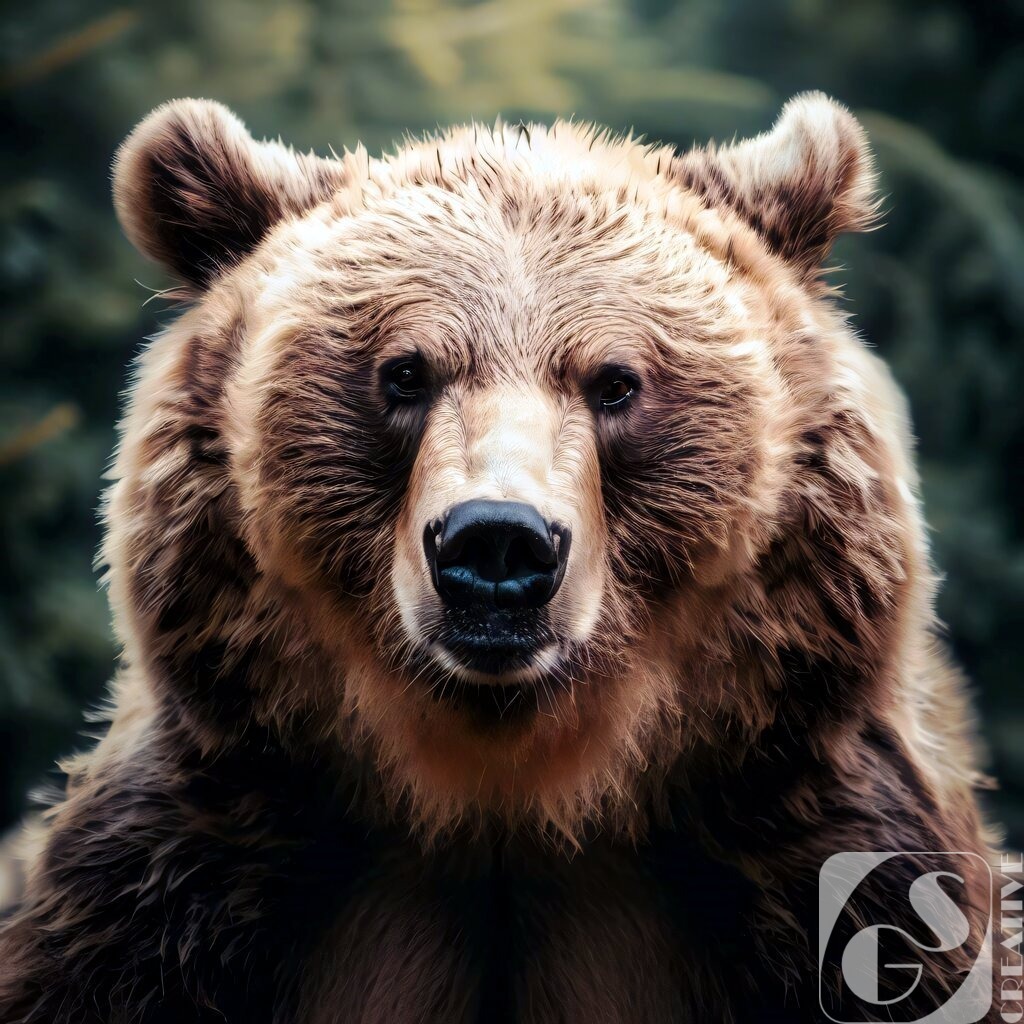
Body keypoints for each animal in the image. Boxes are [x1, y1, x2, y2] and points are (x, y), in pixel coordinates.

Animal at [0, 93, 1001, 1023]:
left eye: (616, 382)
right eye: (404, 372)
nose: (496, 543)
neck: (506, 803)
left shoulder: (831, 864)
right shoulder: (175, 883)